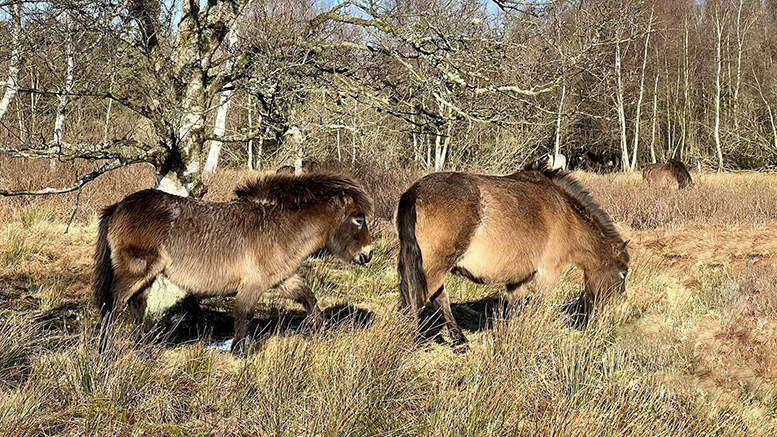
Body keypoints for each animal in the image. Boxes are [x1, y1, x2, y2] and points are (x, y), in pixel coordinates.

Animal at [95, 173, 374, 354]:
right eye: (358, 219)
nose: (368, 254)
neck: (278, 229)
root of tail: (119, 205)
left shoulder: (283, 279)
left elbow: (310, 299)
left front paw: (321, 331)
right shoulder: (253, 285)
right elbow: (244, 315)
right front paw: (239, 353)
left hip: (148, 275)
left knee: (137, 306)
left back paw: (142, 350)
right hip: (136, 271)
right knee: (112, 305)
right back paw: (104, 352)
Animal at [398, 162, 628, 350]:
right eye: (623, 273)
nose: (617, 308)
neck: (566, 213)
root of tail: (414, 191)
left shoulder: (518, 279)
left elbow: (514, 310)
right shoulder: (548, 273)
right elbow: (541, 306)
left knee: (439, 299)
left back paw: (460, 341)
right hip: (433, 268)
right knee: (415, 301)